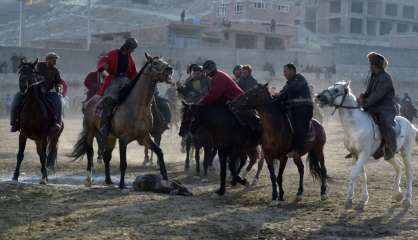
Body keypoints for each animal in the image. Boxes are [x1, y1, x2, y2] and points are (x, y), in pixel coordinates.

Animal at [71, 53, 172, 189]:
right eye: (155, 63)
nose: (170, 69)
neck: (137, 106)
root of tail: (90, 102)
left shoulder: (144, 137)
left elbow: (159, 152)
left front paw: (165, 178)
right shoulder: (123, 140)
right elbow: (123, 163)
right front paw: (122, 184)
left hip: (110, 137)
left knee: (107, 156)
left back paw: (108, 180)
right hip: (90, 130)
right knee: (90, 151)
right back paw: (88, 180)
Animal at [316, 81, 418, 209]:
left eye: (336, 90)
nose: (319, 96)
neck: (355, 126)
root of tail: (411, 125)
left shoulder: (364, 154)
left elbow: (354, 174)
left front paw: (349, 199)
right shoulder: (356, 155)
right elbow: (362, 175)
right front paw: (364, 198)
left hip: (406, 152)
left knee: (409, 173)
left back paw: (407, 199)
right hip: (389, 155)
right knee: (399, 167)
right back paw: (397, 194)